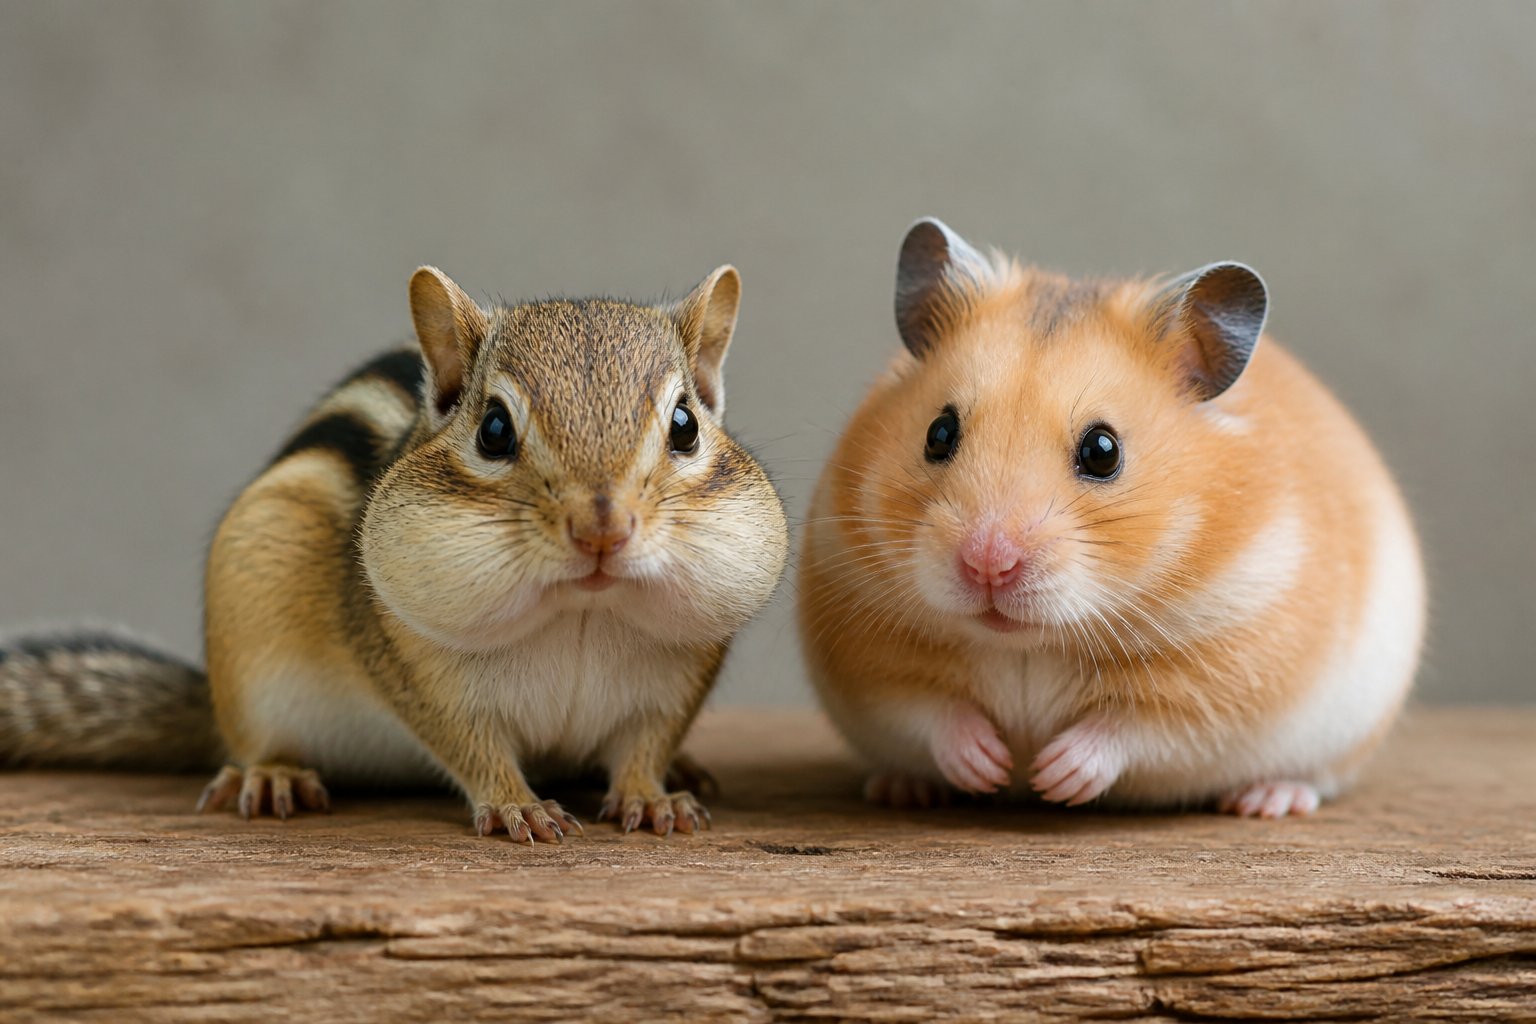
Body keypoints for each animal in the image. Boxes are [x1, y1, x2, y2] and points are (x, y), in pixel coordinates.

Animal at [1, 265, 789, 841]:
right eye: (494, 430)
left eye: (685, 425)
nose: (602, 529)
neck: (580, 613)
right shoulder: (422, 674)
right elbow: (472, 746)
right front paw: (516, 803)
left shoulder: (673, 685)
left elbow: (646, 747)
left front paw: (654, 796)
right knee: (251, 743)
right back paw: (271, 774)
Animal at [798, 218, 1424, 817]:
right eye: (938, 433)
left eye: (1103, 450)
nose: (987, 565)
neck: (1030, 644)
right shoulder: (872, 661)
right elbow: (931, 710)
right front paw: (992, 767)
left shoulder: (1225, 673)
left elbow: (1132, 730)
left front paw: (1051, 777)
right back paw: (902, 789)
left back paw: (1267, 801)